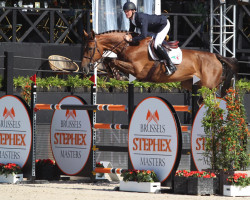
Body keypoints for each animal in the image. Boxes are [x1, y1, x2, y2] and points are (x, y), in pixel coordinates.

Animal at [81, 29, 238, 97]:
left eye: (89, 48)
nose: (83, 68)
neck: (129, 45)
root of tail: (215, 55)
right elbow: (110, 60)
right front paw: (114, 74)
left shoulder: (137, 70)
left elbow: (113, 60)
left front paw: (118, 75)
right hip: (190, 83)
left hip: (207, 86)